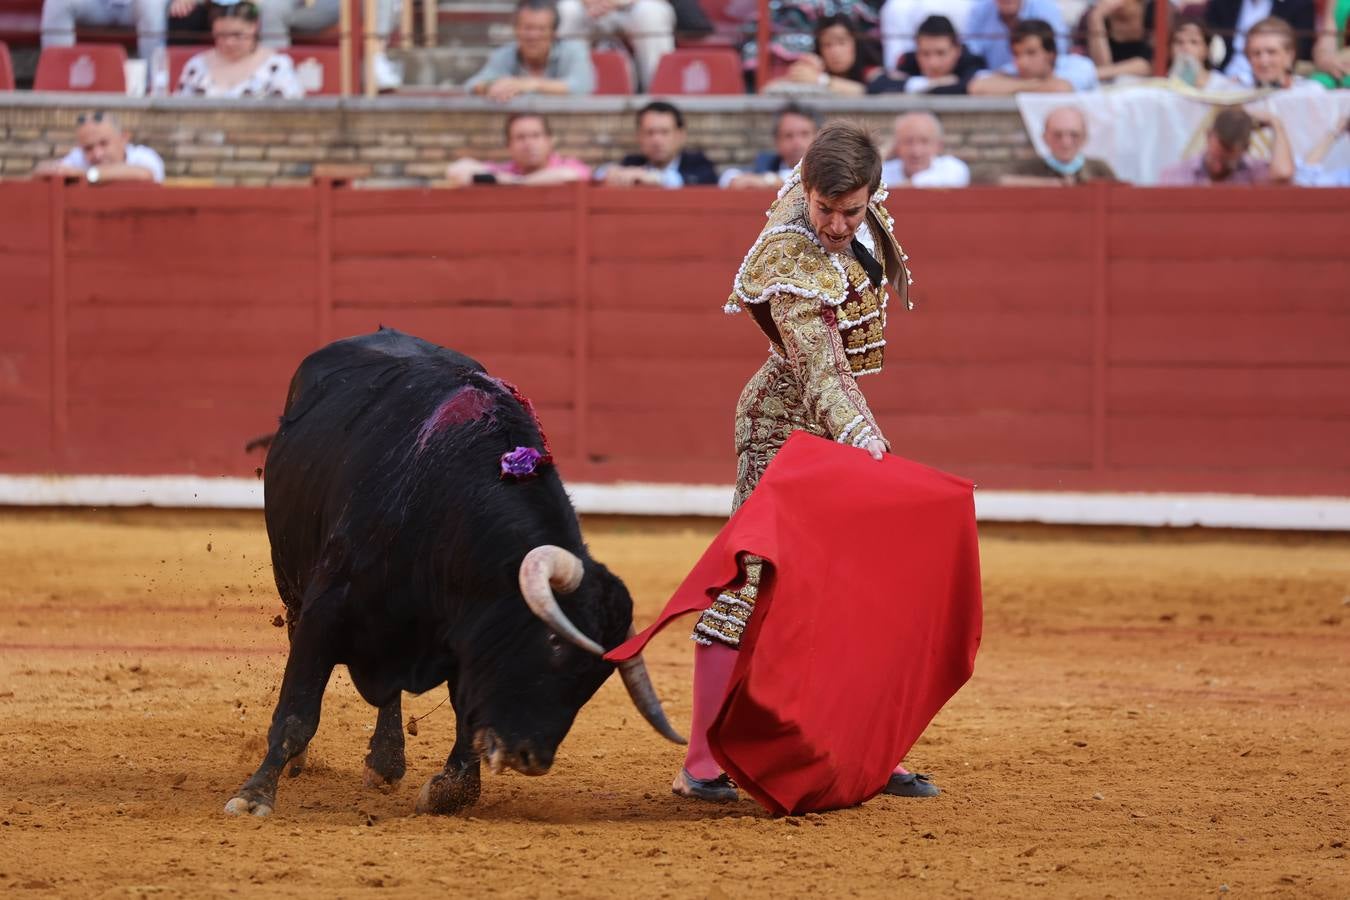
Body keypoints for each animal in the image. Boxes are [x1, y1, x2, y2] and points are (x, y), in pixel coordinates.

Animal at [228, 329, 685, 814]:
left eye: (595, 679)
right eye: (555, 645)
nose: (531, 757)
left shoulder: (466, 638)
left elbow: (468, 712)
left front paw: (451, 789)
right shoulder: (326, 609)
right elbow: (298, 710)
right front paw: (254, 795)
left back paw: (386, 762)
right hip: (291, 583)